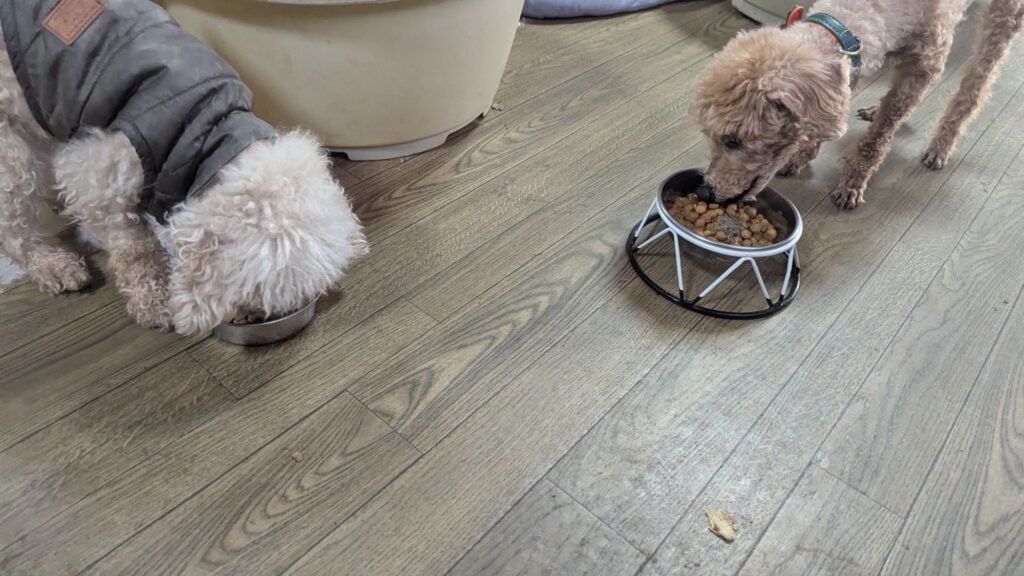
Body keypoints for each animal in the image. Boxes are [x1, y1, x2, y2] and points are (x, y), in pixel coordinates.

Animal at [0, 0, 367, 334]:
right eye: (255, 292)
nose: (249, 317)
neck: (207, 125)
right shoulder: (97, 171)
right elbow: (134, 248)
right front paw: (153, 300)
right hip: (10, 154)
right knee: (13, 225)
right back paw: (53, 265)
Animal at [692, 0, 1024, 208]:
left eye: (733, 140)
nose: (705, 191)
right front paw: (801, 155)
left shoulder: (926, 63)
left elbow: (879, 135)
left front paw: (854, 181)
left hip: (1005, 17)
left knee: (977, 82)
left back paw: (942, 145)